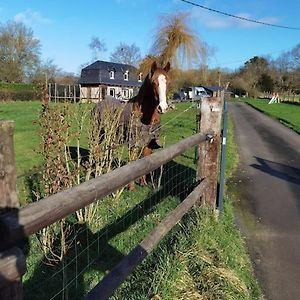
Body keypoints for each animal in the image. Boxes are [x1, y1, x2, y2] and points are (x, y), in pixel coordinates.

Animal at [95, 61, 170, 190]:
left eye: (168, 82)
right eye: (153, 82)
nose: (162, 107)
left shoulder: (149, 142)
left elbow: (145, 159)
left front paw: (143, 183)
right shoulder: (133, 143)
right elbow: (133, 160)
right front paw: (131, 188)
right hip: (98, 134)